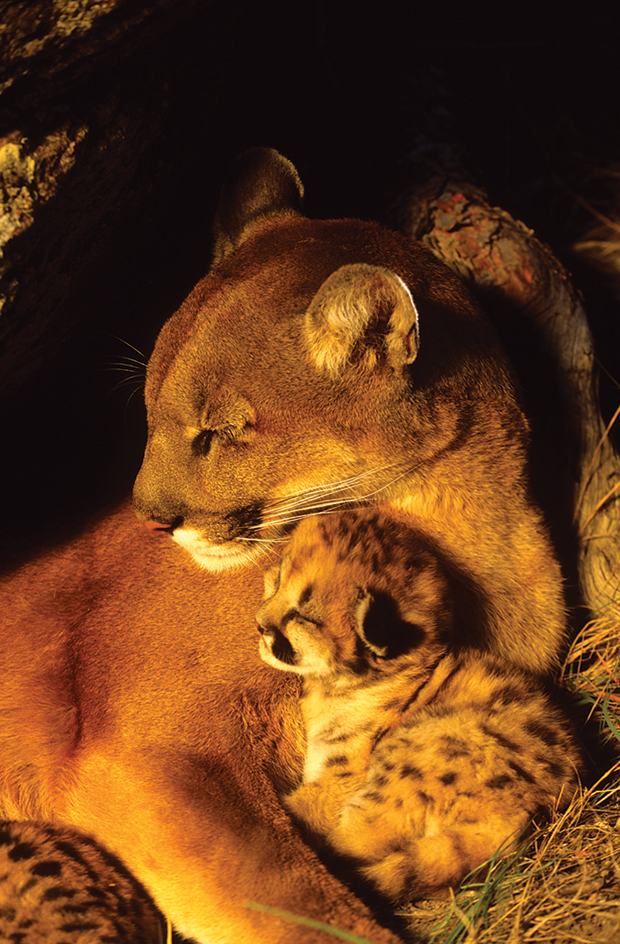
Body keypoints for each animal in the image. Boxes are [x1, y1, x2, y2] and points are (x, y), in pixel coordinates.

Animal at [0, 151, 568, 940]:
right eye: (147, 408)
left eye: (217, 432)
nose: (149, 515)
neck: (471, 519)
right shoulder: (155, 751)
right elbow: (300, 903)